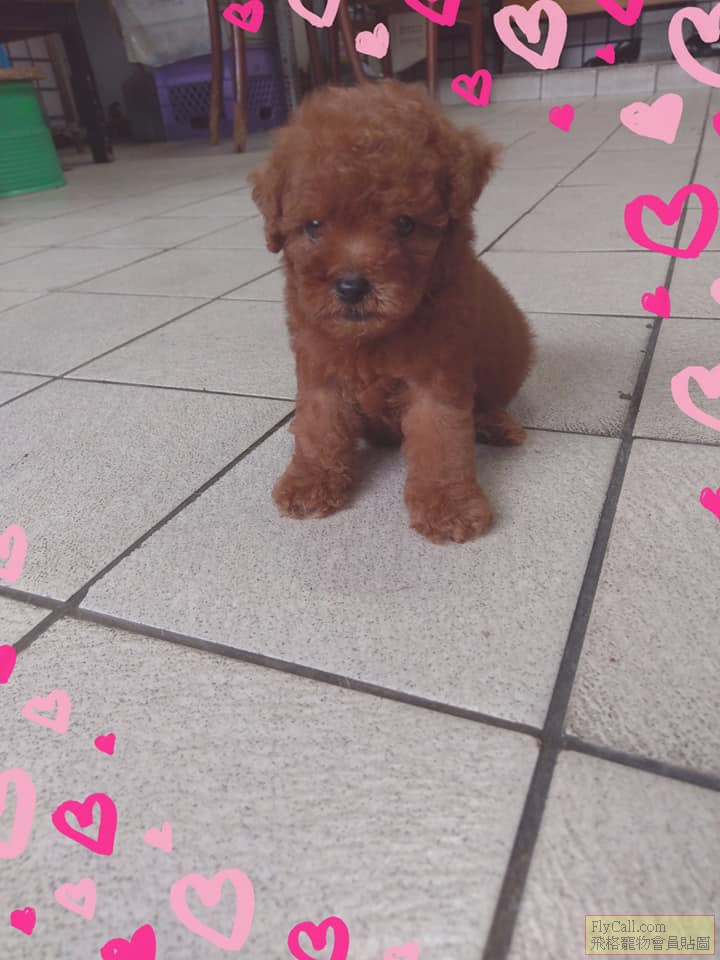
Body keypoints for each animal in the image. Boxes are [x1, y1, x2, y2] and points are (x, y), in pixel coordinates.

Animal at [250, 80, 533, 544]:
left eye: (405, 224)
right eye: (313, 226)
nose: (351, 286)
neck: (372, 336)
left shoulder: (437, 376)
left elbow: (441, 441)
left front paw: (448, 505)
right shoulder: (319, 367)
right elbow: (317, 426)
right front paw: (310, 482)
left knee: (487, 402)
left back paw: (496, 424)